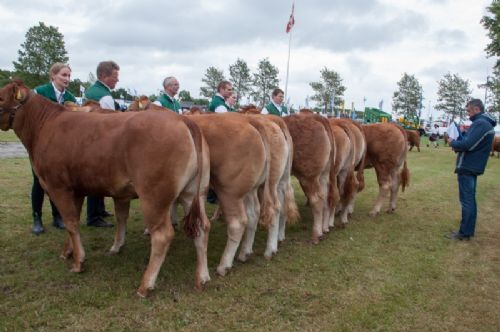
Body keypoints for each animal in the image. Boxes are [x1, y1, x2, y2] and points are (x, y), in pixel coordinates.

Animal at [0, 81, 211, 298]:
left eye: (0, 98)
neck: (44, 127)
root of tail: (182, 119)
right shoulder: (77, 189)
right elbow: (77, 221)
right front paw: (68, 252)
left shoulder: (58, 187)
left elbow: (70, 223)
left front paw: (78, 262)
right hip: (194, 193)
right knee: (202, 227)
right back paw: (202, 278)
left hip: (154, 196)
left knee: (162, 235)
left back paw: (145, 285)